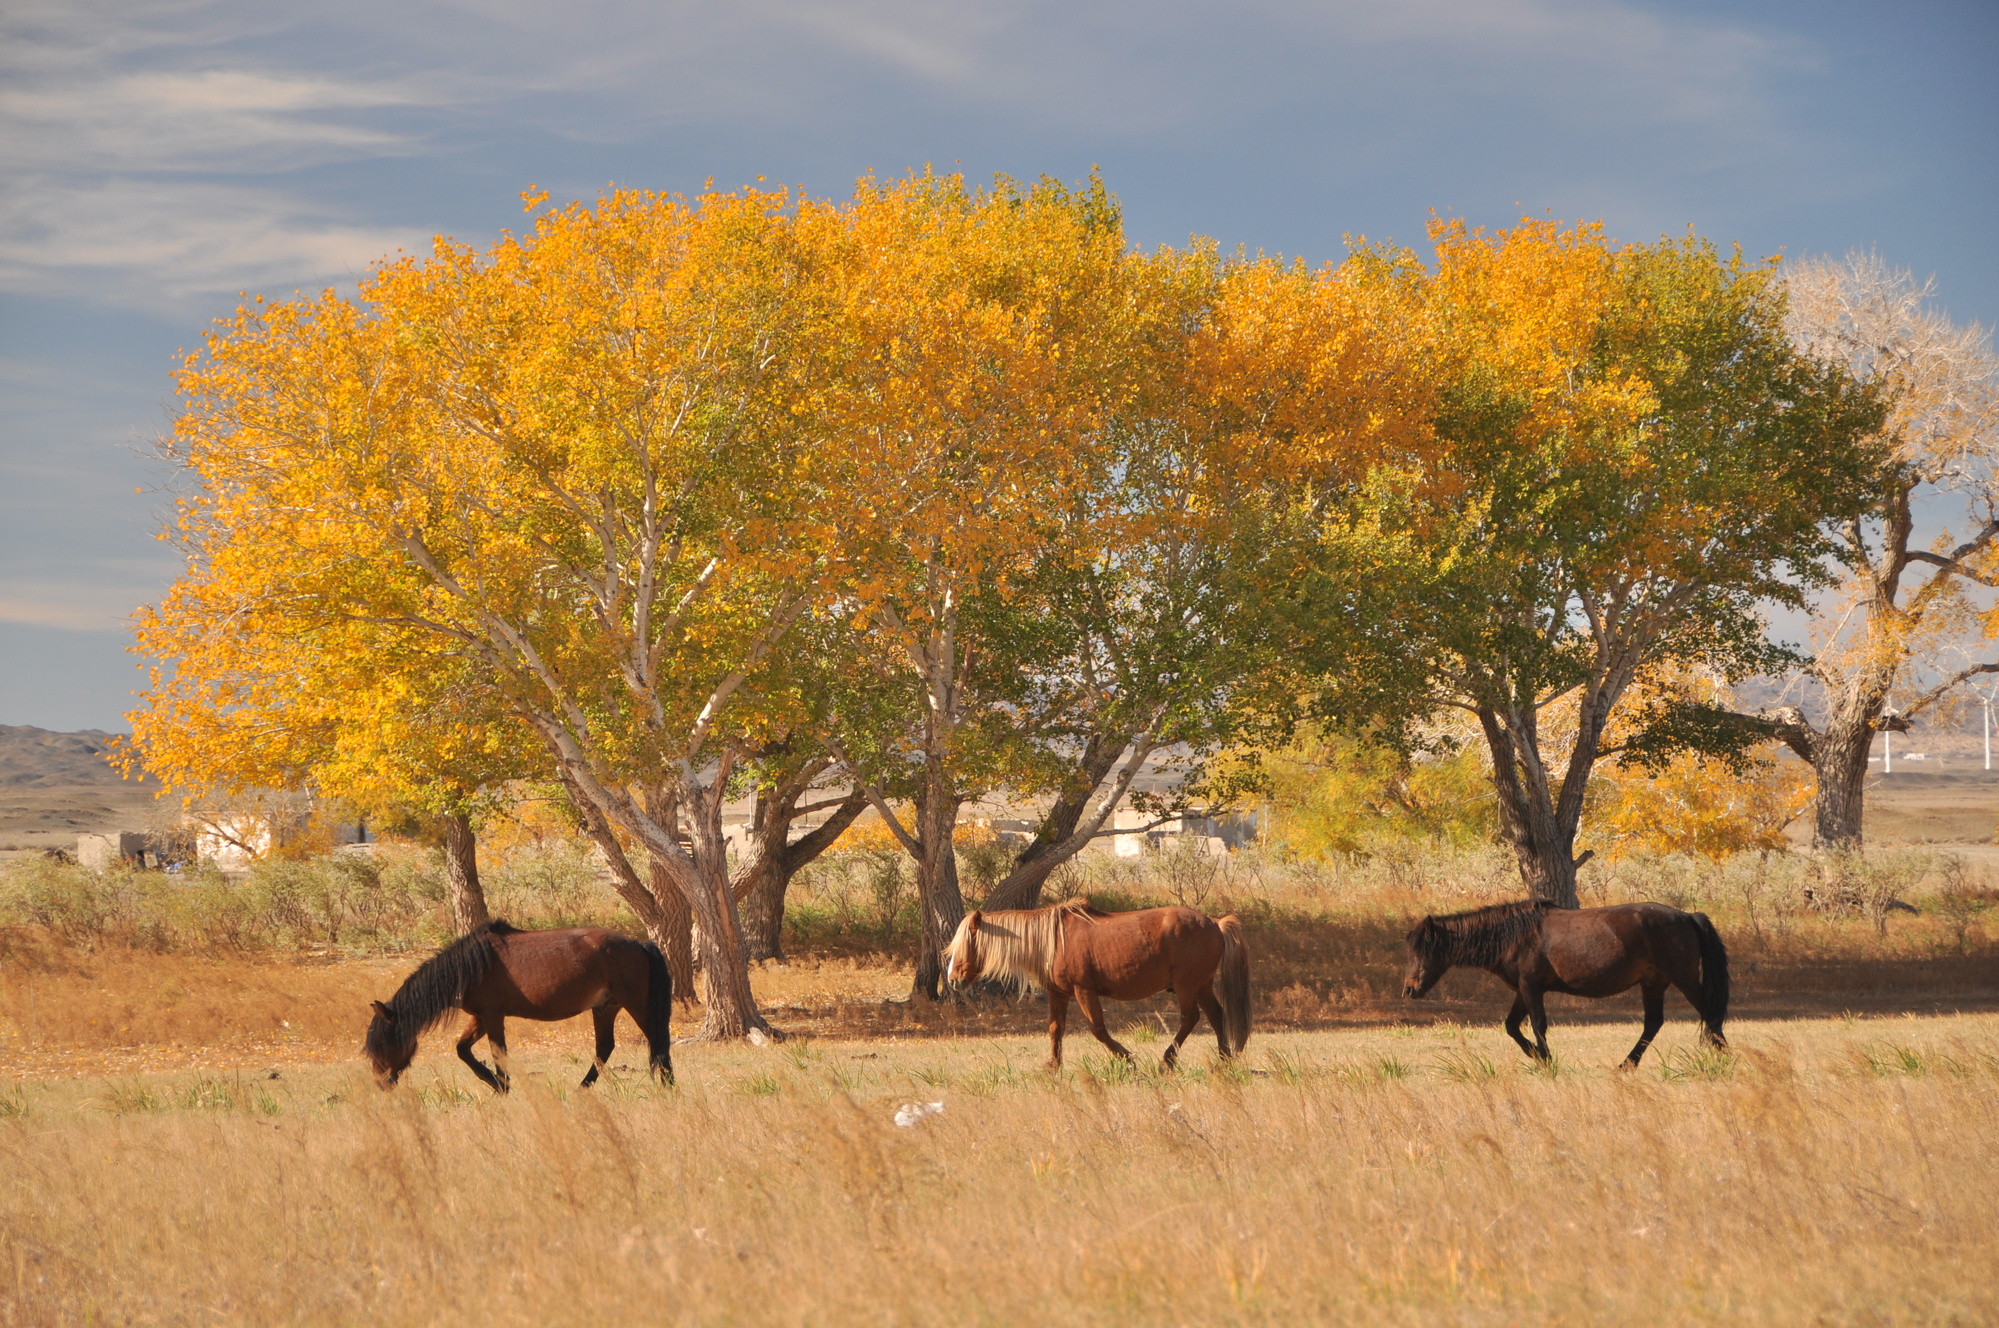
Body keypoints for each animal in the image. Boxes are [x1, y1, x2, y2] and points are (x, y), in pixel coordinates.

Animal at [361, 920, 671, 1096]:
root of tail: (639, 945)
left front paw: (502, 1087)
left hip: (634, 1004)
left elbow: (498, 1054)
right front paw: (495, 1084)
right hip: (605, 1008)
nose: (380, 1084)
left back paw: (668, 1087)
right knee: (605, 1048)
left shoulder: (492, 1017)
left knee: (657, 1041)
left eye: (383, 1043)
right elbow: (463, 1050)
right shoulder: (480, 1018)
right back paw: (581, 1090)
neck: (470, 967)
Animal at [939, 892, 1247, 1072]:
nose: (953, 980)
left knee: (1190, 1018)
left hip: (1187, 987)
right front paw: (1053, 1066)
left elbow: (1098, 1030)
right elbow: (1055, 1029)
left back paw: (1167, 1060)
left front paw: (1127, 1058)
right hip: (1202, 986)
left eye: (967, 943)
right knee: (1216, 1016)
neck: (1052, 942)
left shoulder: (1083, 991)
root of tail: (1214, 923)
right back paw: (1223, 1060)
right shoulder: (1059, 995)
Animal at [1399, 896, 1727, 1064]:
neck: (1515, 934)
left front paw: (1546, 1060)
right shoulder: (1522, 990)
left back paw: (1723, 1057)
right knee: (1653, 1024)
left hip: (1683, 979)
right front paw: (1536, 1055)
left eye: (1423, 951)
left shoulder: (1531, 988)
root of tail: (1688, 916)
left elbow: (1537, 1025)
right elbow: (1511, 1026)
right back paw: (1626, 1064)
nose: (1409, 989)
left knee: (1710, 1014)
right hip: (1654, 983)